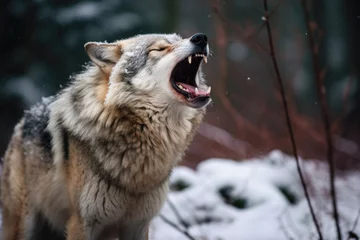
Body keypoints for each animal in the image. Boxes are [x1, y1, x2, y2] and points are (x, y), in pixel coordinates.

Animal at [0, 33, 211, 240]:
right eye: (159, 49)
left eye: (180, 39)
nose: (200, 37)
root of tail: (22, 121)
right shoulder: (82, 222)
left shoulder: (138, 224)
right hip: (24, 223)